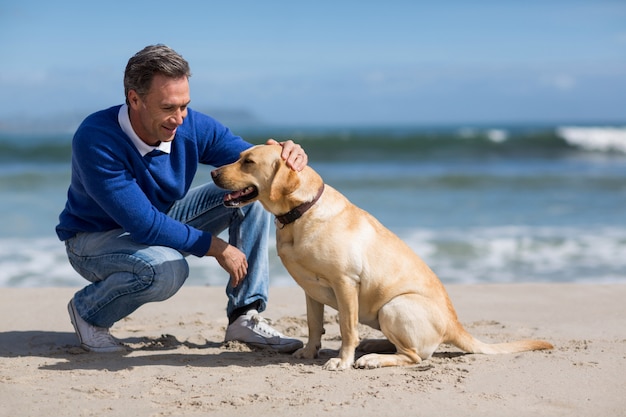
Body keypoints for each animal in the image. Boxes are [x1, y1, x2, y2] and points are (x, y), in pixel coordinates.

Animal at [211, 145, 552, 368]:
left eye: (248, 161)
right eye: (239, 157)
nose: (213, 172)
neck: (300, 213)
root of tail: (455, 326)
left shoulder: (345, 283)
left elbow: (346, 329)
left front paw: (342, 361)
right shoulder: (310, 291)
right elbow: (313, 325)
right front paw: (309, 353)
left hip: (395, 307)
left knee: (414, 356)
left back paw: (372, 358)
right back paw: (374, 345)